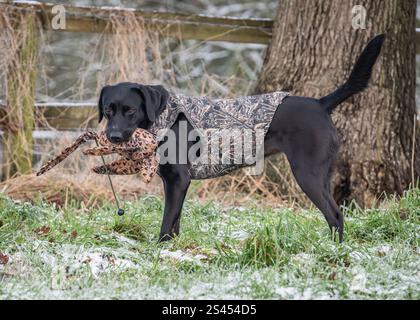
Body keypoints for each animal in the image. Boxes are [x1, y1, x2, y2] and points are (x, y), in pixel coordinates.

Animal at [97, 34, 384, 242]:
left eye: (130, 111)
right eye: (108, 110)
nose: (113, 136)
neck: (163, 117)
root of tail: (321, 104)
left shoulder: (178, 180)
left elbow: (168, 221)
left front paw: (161, 249)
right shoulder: (175, 183)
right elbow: (176, 221)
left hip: (308, 174)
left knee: (335, 214)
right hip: (322, 174)